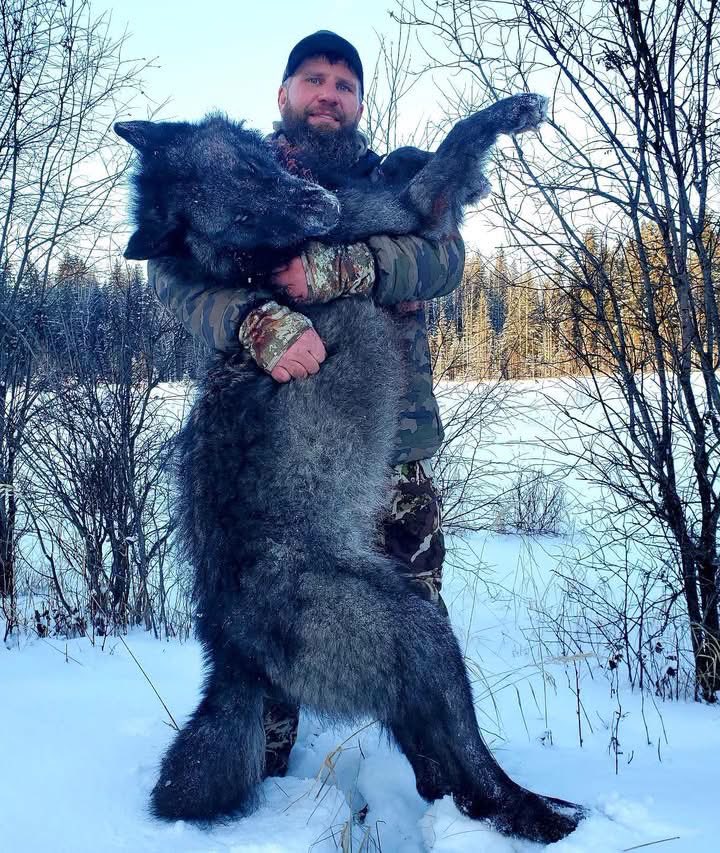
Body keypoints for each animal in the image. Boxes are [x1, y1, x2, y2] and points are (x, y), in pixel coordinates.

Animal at [115, 95, 585, 844]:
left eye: (252, 169)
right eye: (239, 216)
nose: (320, 205)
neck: (261, 262)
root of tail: (229, 651)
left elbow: (422, 165)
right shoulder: (417, 206)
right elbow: (458, 144)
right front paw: (511, 112)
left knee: (442, 764)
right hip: (421, 636)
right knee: (468, 760)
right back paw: (540, 816)